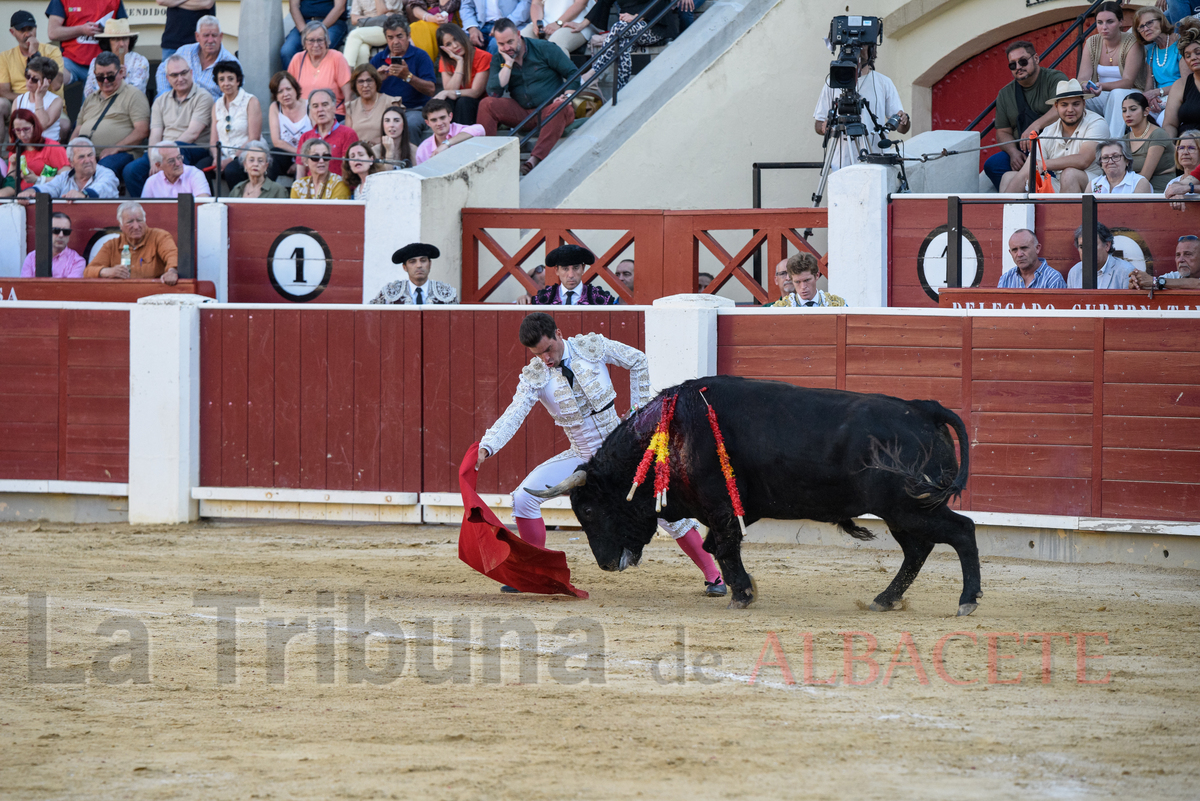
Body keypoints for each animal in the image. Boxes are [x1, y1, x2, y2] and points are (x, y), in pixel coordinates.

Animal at [530, 378, 979, 618]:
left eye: (589, 509)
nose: (606, 565)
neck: (669, 437)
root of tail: (924, 409)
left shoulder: (721, 509)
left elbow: (726, 549)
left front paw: (742, 596)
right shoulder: (722, 512)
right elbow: (719, 547)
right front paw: (742, 591)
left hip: (910, 507)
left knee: (962, 531)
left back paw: (966, 601)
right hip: (903, 513)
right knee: (918, 550)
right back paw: (885, 599)